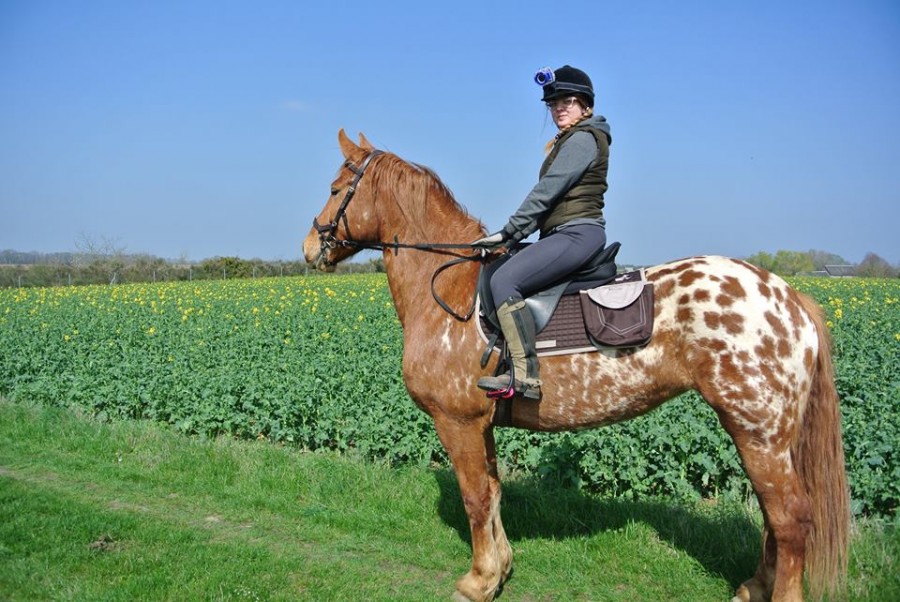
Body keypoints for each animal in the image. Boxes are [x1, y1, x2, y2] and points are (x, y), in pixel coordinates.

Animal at [304, 130, 852, 600]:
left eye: (335, 189)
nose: (310, 248)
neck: (450, 287)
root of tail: (790, 297)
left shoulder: (457, 422)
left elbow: (475, 499)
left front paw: (477, 581)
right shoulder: (482, 424)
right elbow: (494, 494)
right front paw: (499, 570)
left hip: (759, 432)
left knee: (790, 519)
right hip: (759, 436)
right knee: (773, 517)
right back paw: (754, 587)